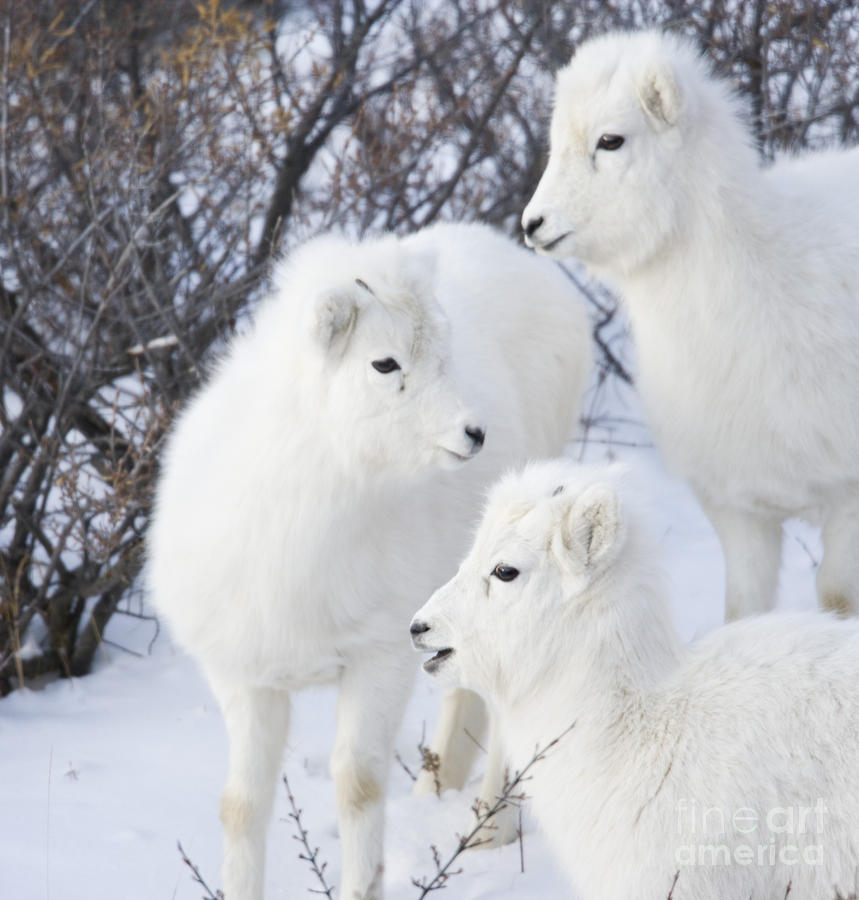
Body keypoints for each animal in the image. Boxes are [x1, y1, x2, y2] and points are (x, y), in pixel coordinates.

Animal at [148, 220, 592, 900]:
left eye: (442, 353)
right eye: (384, 363)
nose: (474, 434)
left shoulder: (378, 660)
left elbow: (357, 790)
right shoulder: (245, 680)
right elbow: (241, 806)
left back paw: (488, 828)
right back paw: (438, 790)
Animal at [520, 28, 859, 620]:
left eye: (611, 141)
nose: (534, 224)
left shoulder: (848, 498)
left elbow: (838, 601)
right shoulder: (738, 507)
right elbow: (744, 611)